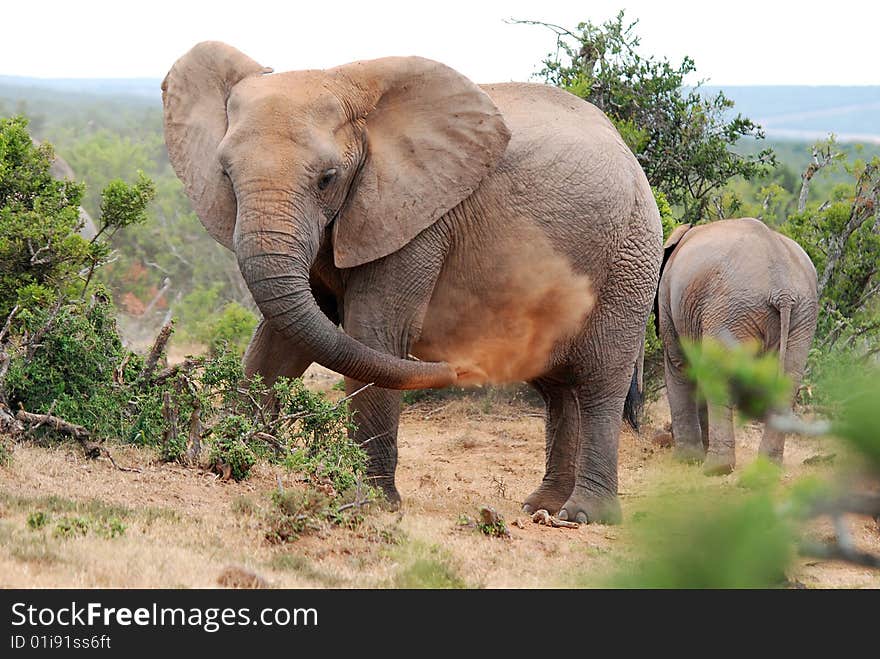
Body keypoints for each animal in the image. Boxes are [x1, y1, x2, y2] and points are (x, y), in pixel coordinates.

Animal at [163, 41, 660, 524]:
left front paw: (369, 504)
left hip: (630, 259)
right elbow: (281, 339)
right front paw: (226, 462)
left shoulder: (417, 219)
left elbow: (373, 334)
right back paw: (543, 508)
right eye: (226, 174)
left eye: (327, 179)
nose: (459, 369)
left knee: (601, 382)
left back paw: (583, 515)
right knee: (558, 390)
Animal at [656, 220, 820, 474]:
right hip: (802, 315)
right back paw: (767, 467)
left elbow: (680, 365)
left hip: (729, 311)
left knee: (716, 376)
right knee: (788, 381)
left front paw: (687, 460)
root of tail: (782, 288)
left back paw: (716, 468)